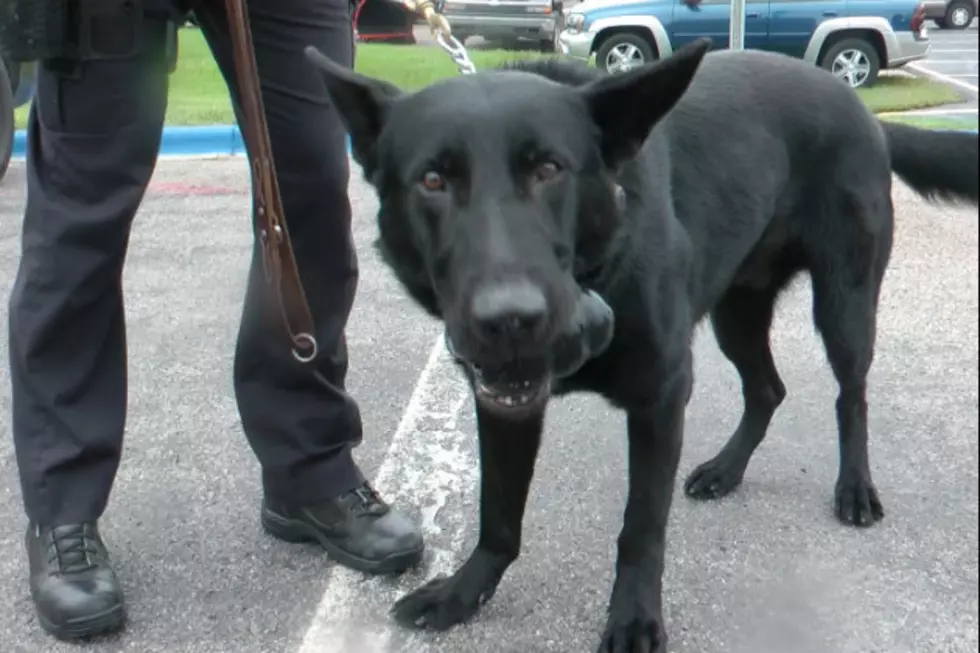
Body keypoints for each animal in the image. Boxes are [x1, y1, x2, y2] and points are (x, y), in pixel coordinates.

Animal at [304, 42, 972, 652]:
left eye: (549, 170)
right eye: (433, 181)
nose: (509, 320)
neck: (598, 273)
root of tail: (864, 110)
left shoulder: (661, 396)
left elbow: (641, 527)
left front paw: (633, 620)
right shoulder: (503, 402)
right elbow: (498, 513)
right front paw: (464, 592)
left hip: (844, 304)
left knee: (850, 395)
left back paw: (854, 488)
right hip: (736, 311)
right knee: (767, 388)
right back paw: (726, 470)